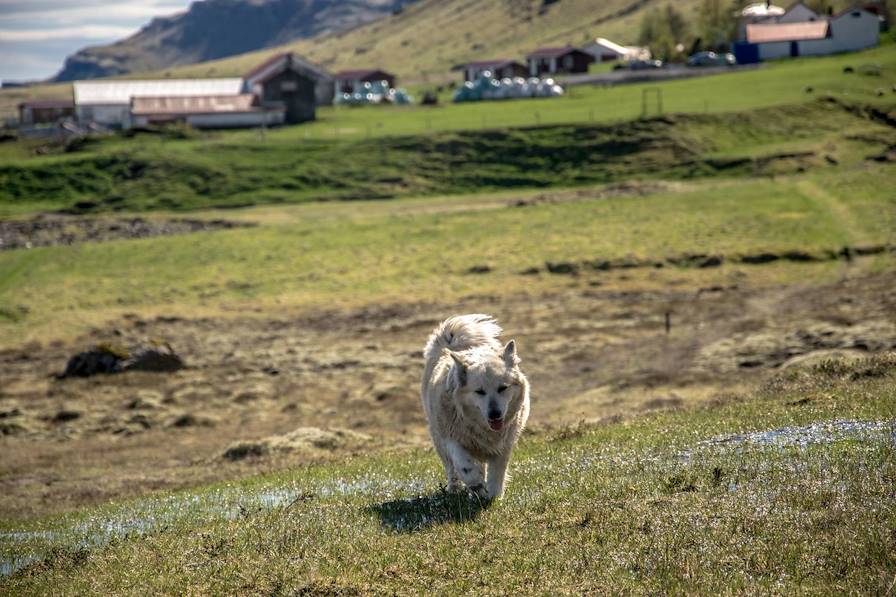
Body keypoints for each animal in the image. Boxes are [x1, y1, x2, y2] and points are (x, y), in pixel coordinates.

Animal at [422, 314, 532, 500]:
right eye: (479, 391)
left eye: (502, 388)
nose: (495, 414)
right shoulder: (452, 437)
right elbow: (464, 466)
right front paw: (477, 486)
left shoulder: (502, 445)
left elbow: (497, 472)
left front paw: (494, 497)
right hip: (438, 437)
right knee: (451, 468)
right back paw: (454, 489)